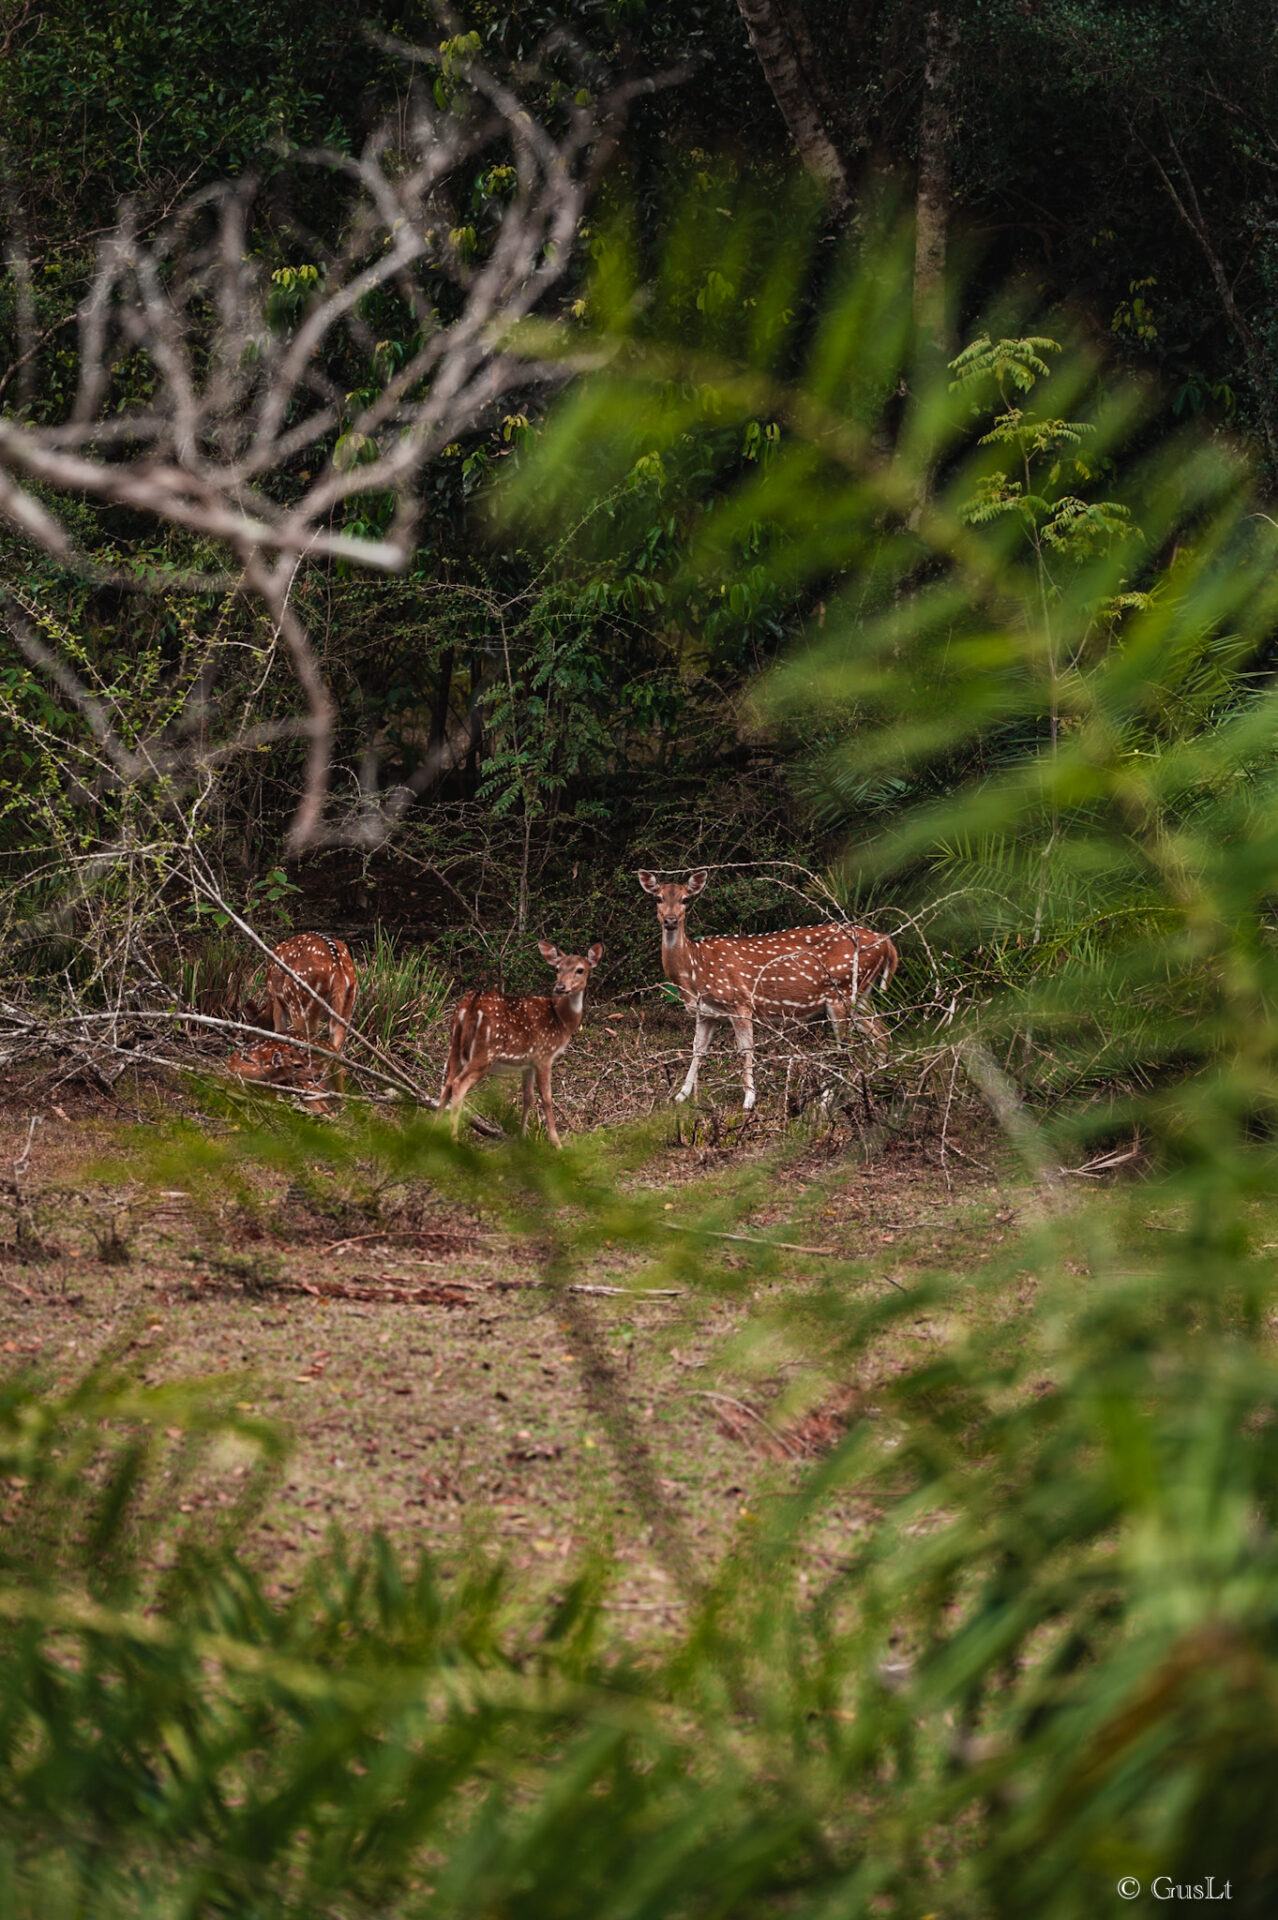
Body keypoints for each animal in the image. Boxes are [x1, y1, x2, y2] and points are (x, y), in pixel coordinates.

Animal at [441, 936, 606, 1144]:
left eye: (580, 969)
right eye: (557, 969)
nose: (560, 987)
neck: (561, 1020)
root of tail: (471, 1004)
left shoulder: (528, 1063)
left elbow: (528, 1097)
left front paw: (522, 1136)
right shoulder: (544, 1055)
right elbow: (547, 1097)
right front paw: (556, 1142)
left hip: (454, 1046)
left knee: (446, 1085)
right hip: (485, 1052)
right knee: (458, 1085)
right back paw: (454, 1139)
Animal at [633, 871, 894, 1113]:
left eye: (686, 899)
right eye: (657, 897)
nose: (670, 921)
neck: (695, 972)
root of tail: (886, 942)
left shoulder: (740, 1002)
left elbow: (745, 1051)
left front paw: (749, 1100)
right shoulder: (706, 1013)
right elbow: (697, 1051)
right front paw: (680, 1095)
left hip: (842, 992)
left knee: (850, 1048)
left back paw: (827, 1100)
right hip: (861, 995)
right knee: (881, 1034)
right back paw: (880, 1081)